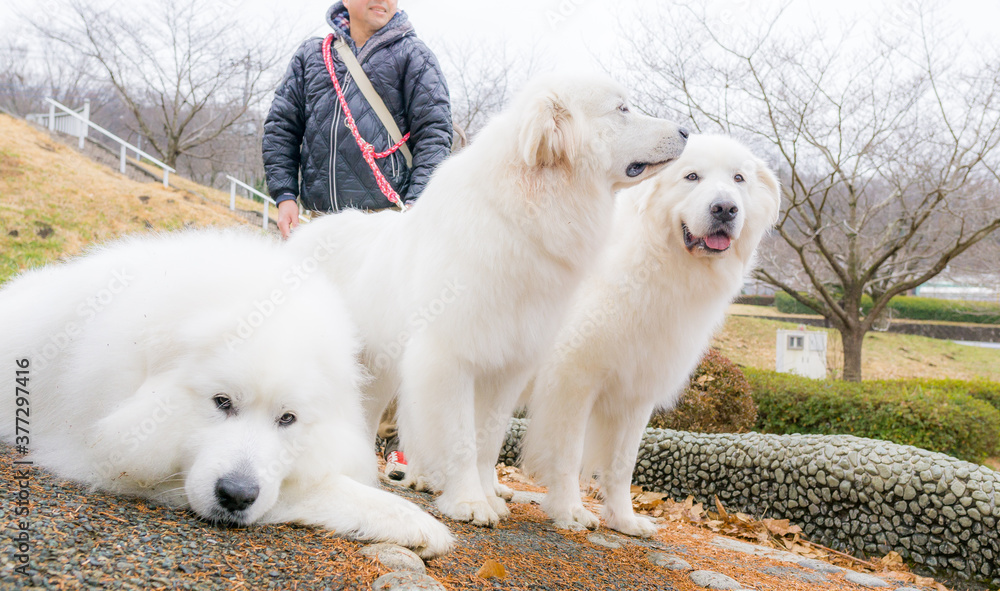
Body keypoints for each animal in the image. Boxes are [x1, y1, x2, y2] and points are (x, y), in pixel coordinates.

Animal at [0, 229, 454, 556]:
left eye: (287, 418)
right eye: (221, 403)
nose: (237, 495)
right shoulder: (108, 458)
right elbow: (313, 488)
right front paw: (416, 521)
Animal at [290, 75, 688, 528]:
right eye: (622, 109)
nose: (686, 131)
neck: (524, 218)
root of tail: (306, 228)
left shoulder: (509, 367)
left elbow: (488, 442)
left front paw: (487, 496)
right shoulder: (450, 359)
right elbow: (461, 440)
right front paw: (468, 502)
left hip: (380, 371)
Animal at [520, 136, 784, 540]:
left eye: (739, 179)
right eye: (692, 176)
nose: (725, 208)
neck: (658, 263)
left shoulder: (636, 394)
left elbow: (622, 464)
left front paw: (624, 520)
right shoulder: (571, 380)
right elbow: (568, 453)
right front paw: (568, 511)